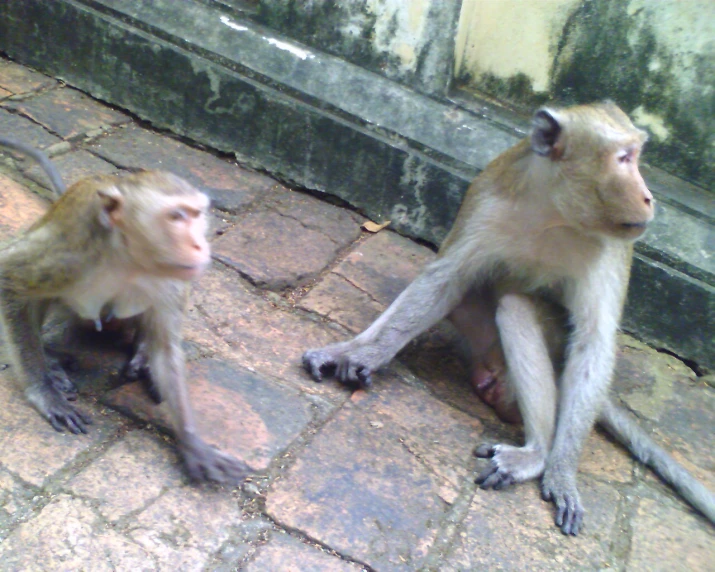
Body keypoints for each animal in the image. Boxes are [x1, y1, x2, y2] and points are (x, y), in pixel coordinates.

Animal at [0, 145, 249, 484]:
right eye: (176, 216)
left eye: (197, 215)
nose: (200, 245)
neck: (128, 258)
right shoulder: (67, 253)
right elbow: (8, 277)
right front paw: (43, 391)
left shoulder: (171, 279)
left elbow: (167, 351)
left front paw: (191, 442)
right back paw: (50, 361)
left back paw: (142, 354)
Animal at [304, 104, 715, 536]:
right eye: (624, 159)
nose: (649, 197)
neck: (556, 212)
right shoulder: (488, 200)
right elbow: (443, 279)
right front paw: (359, 352)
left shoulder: (614, 247)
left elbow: (593, 342)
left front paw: (562, 471)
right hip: (482, 341)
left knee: (518, 308)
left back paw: (537, 454)